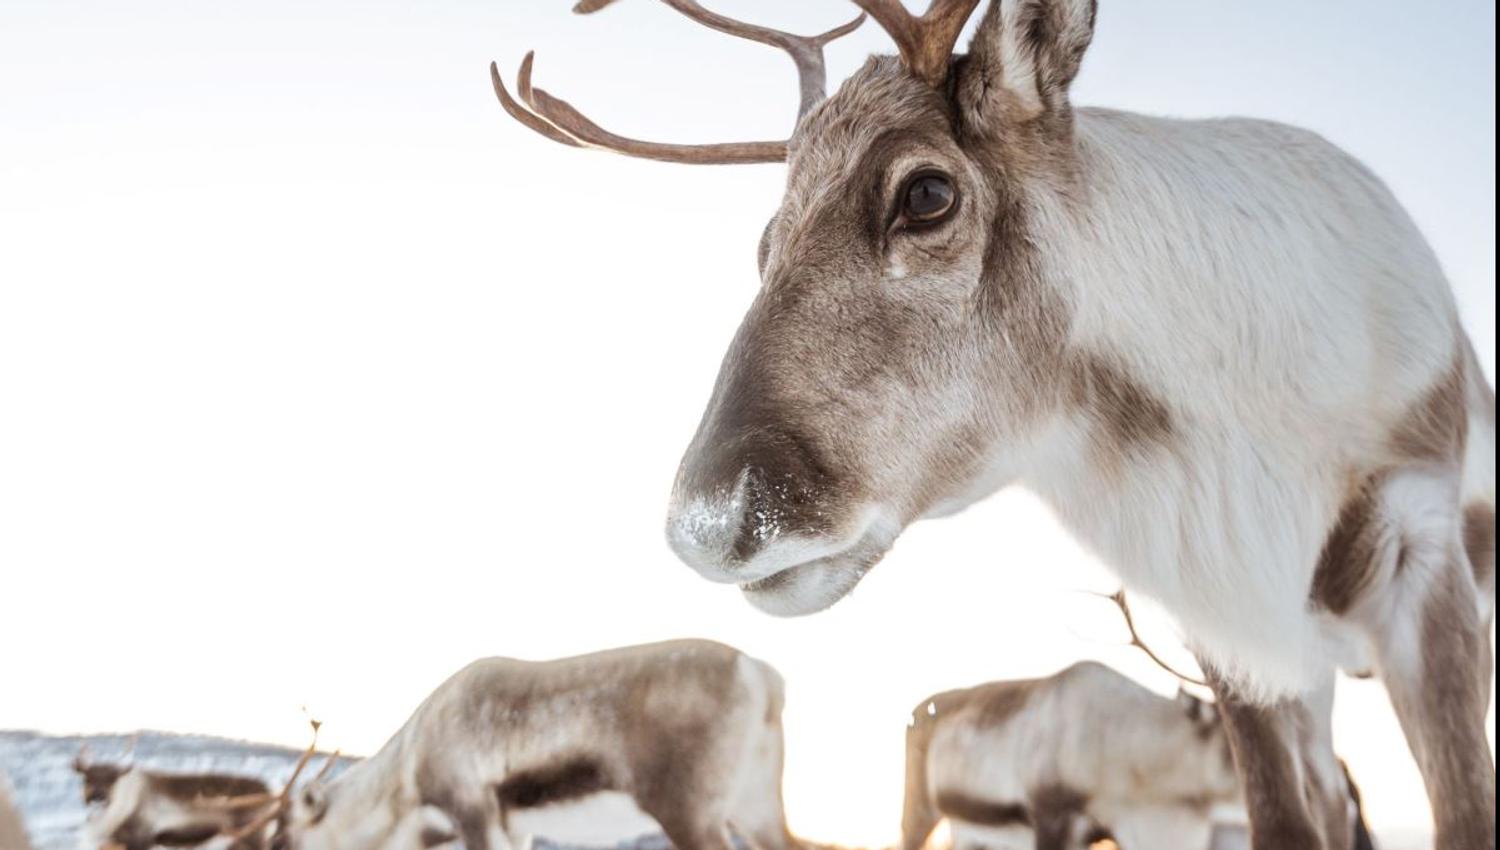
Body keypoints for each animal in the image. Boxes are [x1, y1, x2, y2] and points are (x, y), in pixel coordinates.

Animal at [269, 639, 792, 850]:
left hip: (689, 815)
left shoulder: (473, 812)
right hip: (754, 809)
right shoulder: (515, 828)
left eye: (283, 838)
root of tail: (758, 672)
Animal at [491, 2, 1497, 850]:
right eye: (765, 241)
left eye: (927, 193)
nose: (710, 523)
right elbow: (1286, 821)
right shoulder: (1231, 630)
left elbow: (1464, 811)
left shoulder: (1422, 553)